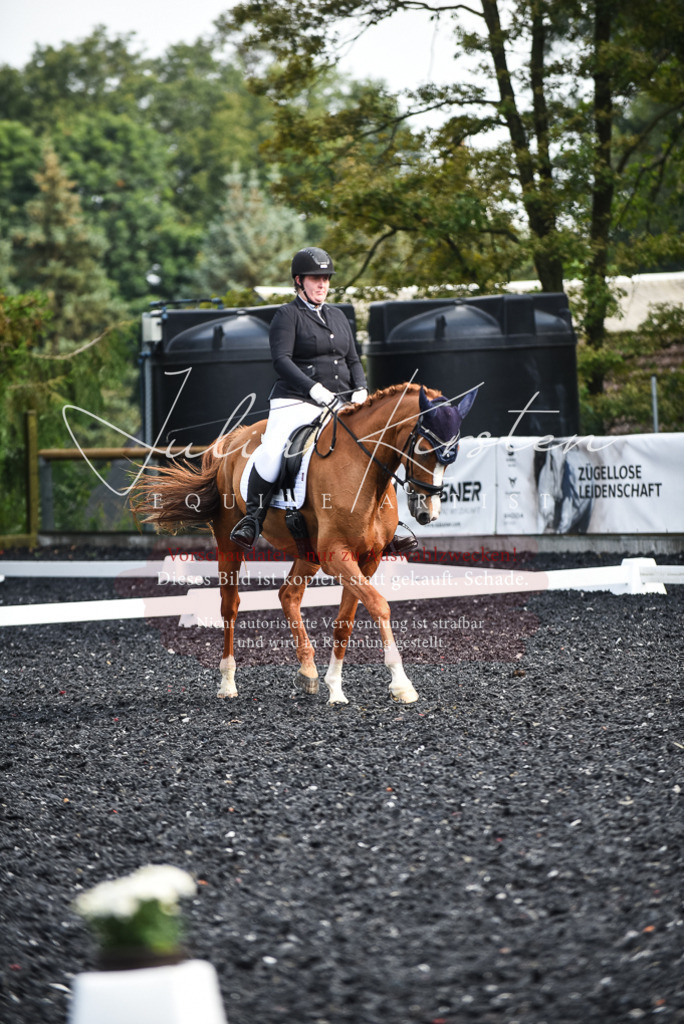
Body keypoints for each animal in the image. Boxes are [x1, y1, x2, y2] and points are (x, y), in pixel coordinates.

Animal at [131, 382, 477, 706]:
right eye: (424, 447)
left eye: (454, 453)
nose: (427, 512)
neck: (362, 471)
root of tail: (236, 437)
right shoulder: (336, 555)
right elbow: (379, 605)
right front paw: (402, 684)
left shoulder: (369, 558)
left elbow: (345, 621)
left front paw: (335, 686)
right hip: (230, 541)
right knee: (230, 606)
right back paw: (228, 683)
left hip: (306, 552)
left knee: (288, 595)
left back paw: (308, 671)